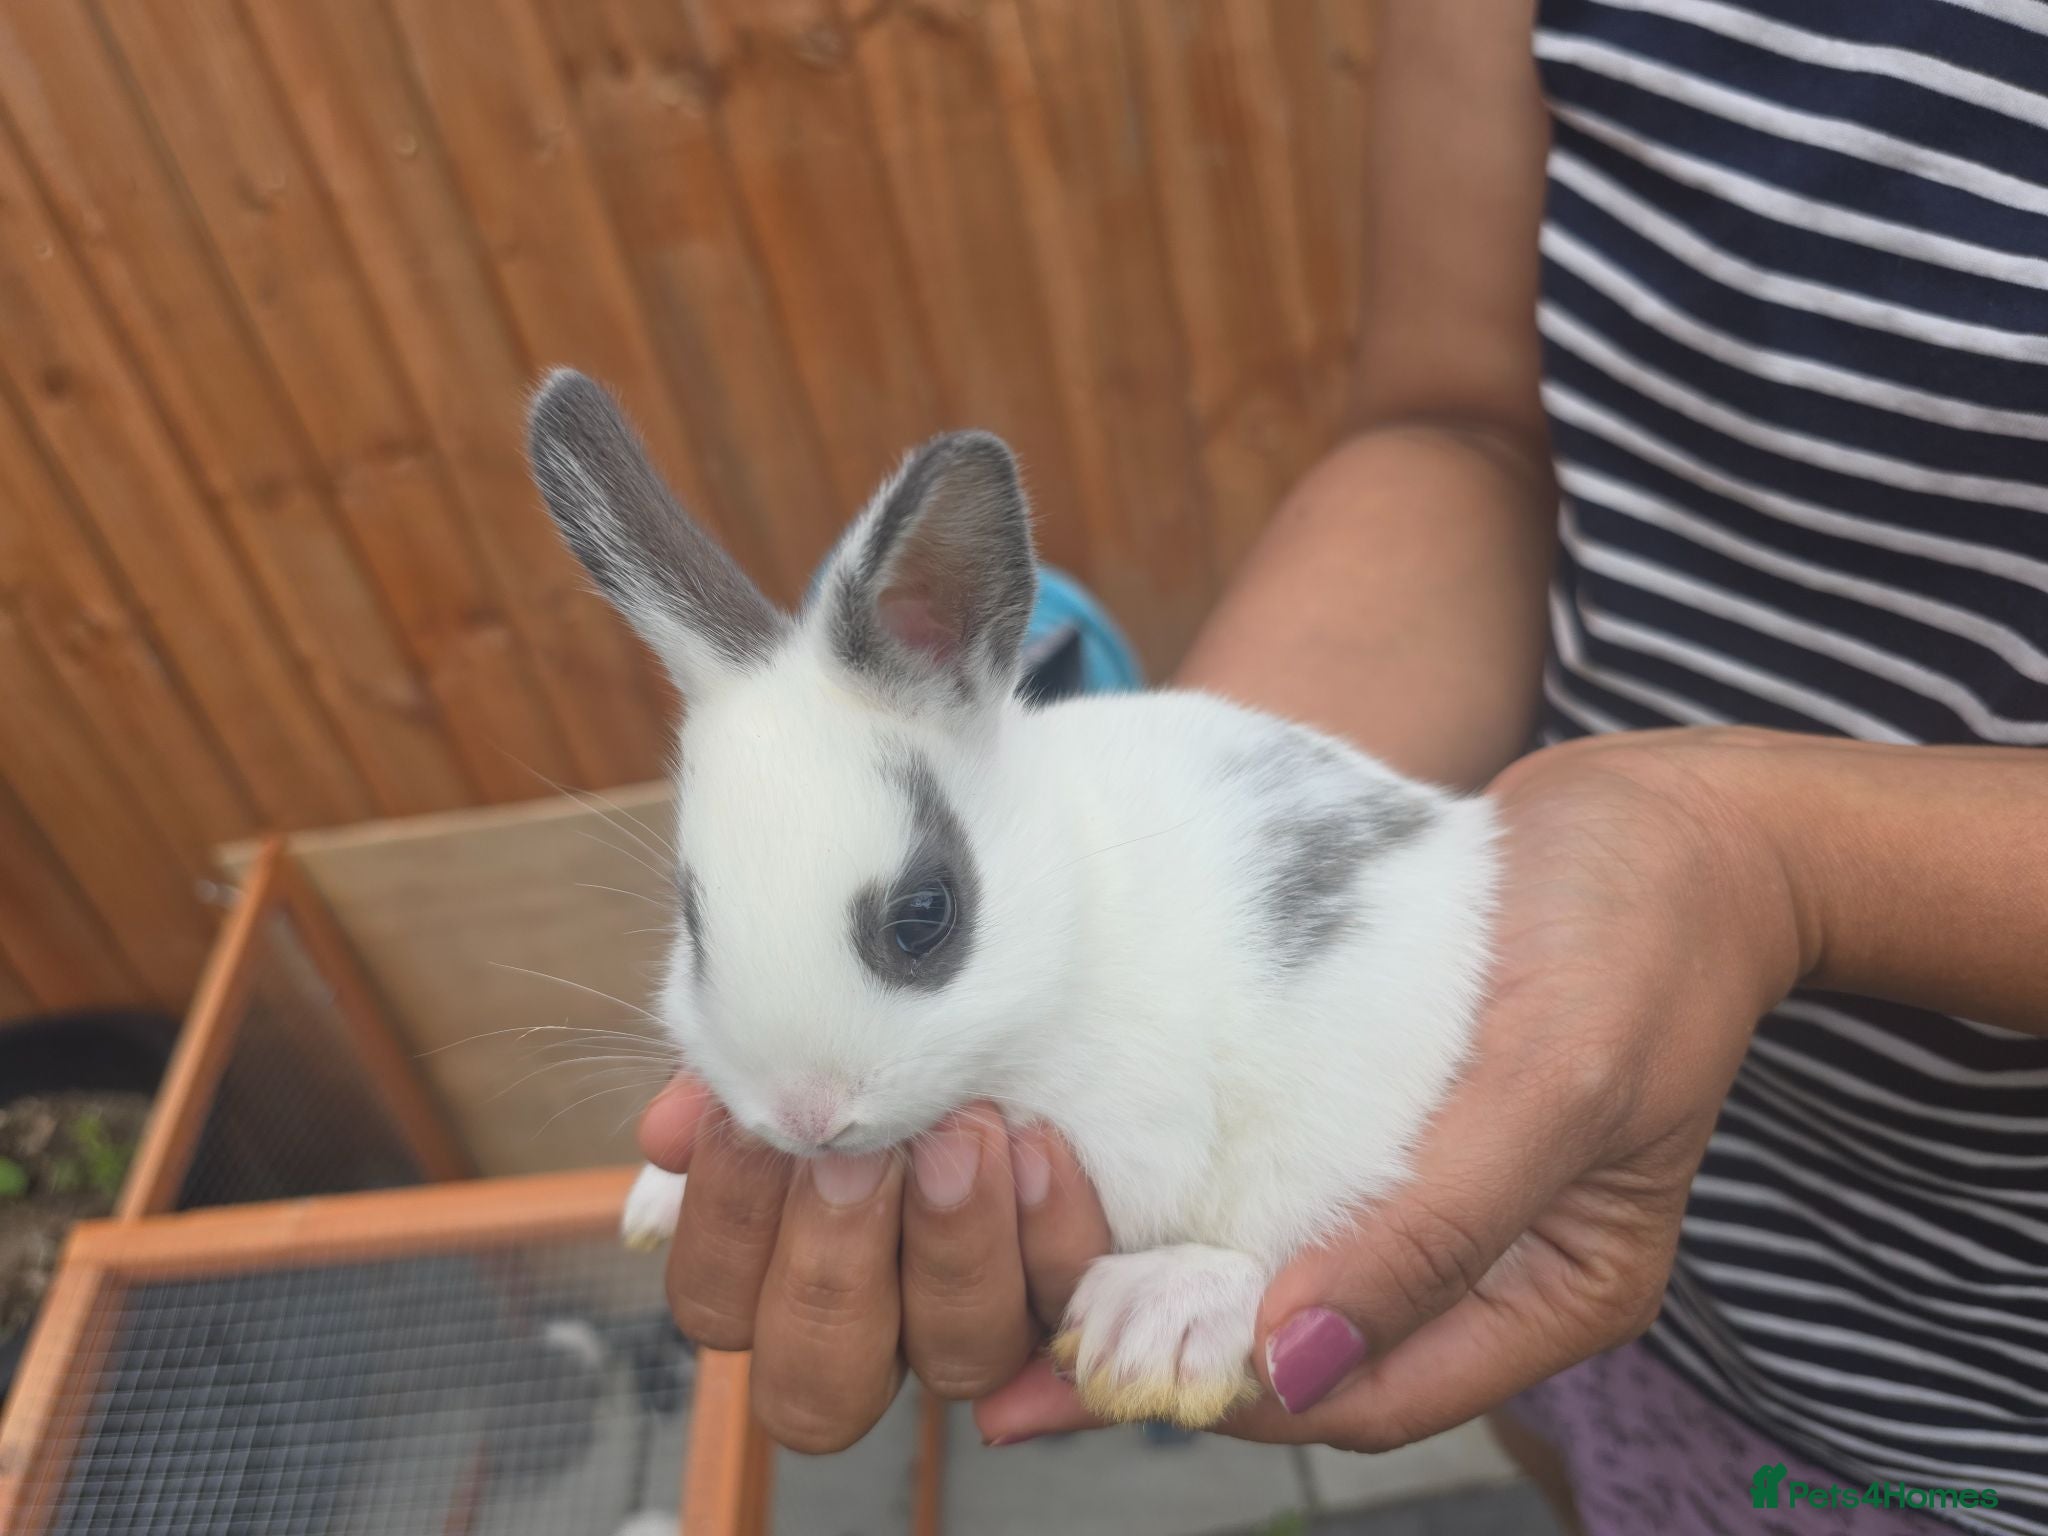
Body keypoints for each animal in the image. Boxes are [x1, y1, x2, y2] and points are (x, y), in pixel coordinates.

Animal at [525, 370, 1498, 1430]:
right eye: (694, 926)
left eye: (925, 915)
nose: (806, 1116)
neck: (1076, 909)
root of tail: (1468, 846)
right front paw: (659, 1195)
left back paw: (1156, 1324)